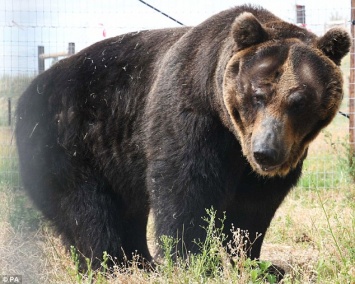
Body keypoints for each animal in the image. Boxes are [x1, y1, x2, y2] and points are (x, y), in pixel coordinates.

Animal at [15, 4, 350, 270]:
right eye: (258, 95)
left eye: (299, 101)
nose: (265, 152)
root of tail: (28, 92)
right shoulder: (191, 115)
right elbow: (185, 187)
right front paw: (195, 261)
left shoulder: (264, 159)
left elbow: (252, 207)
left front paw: (255, 261)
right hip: (68, 140)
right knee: (86, 209)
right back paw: (110, 263)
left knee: (127, 207)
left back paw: (141, 261)